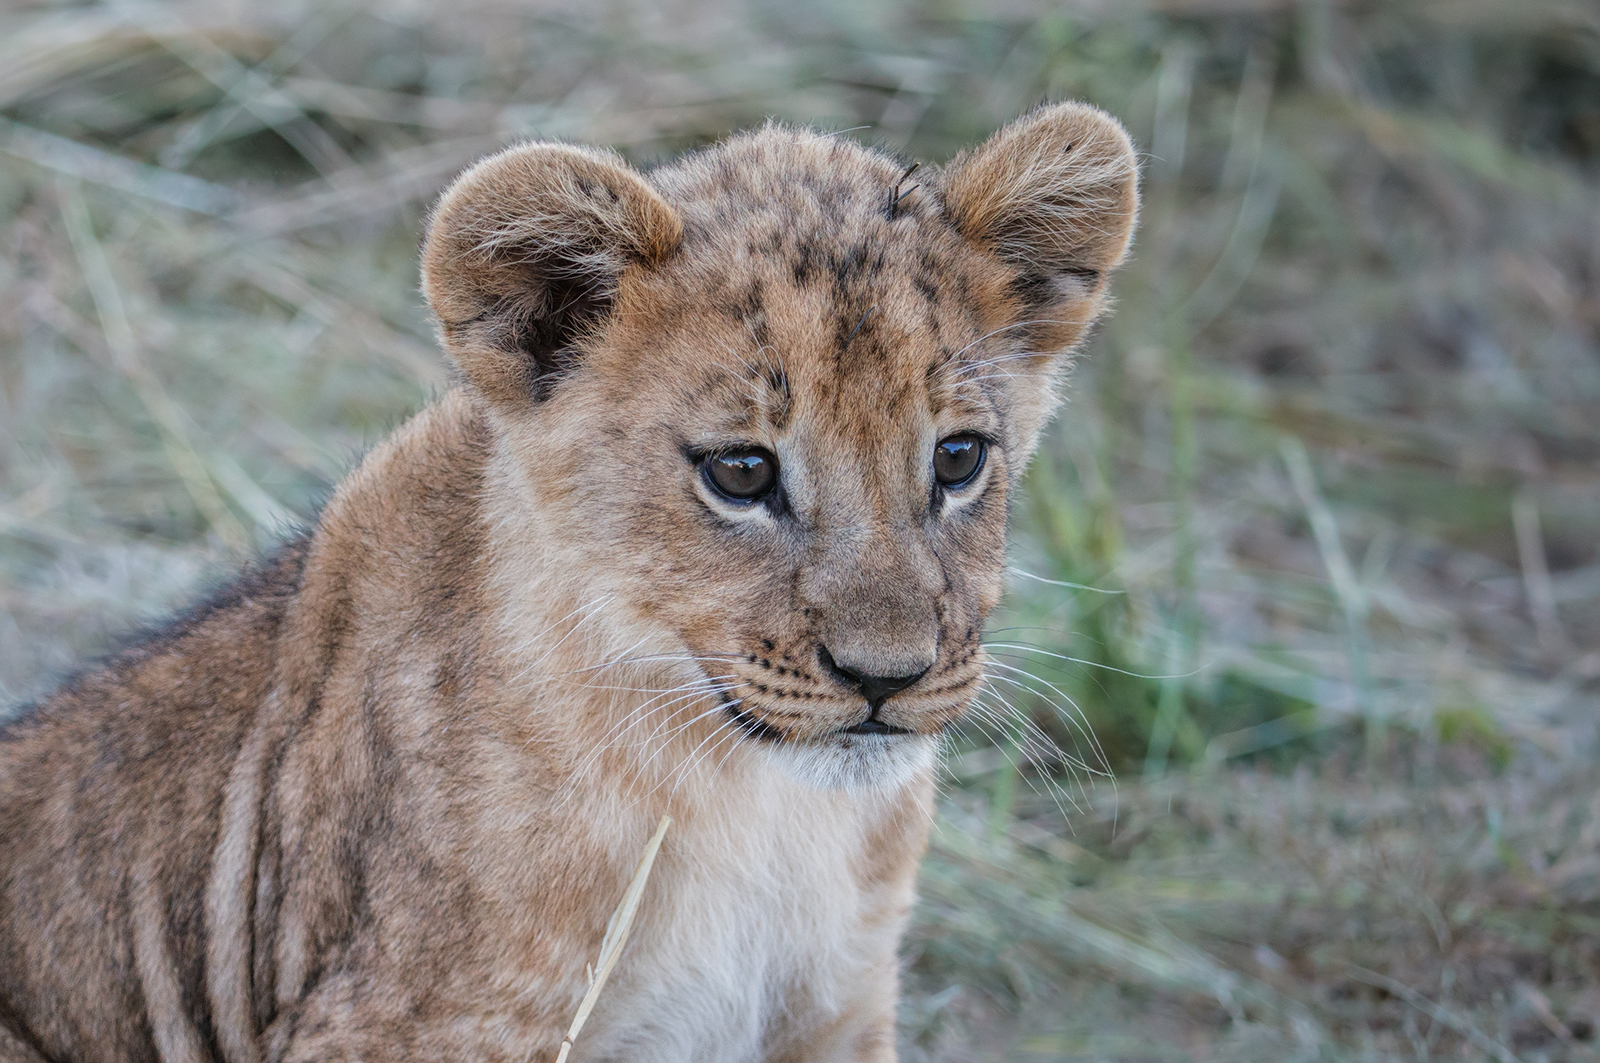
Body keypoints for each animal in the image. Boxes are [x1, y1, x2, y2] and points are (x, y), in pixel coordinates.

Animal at [0, 102, 1137, 1062]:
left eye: (957, 459)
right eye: (741, 472)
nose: (885, 678)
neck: (756, 808)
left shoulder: (836, 1002)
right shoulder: (399, 1022)